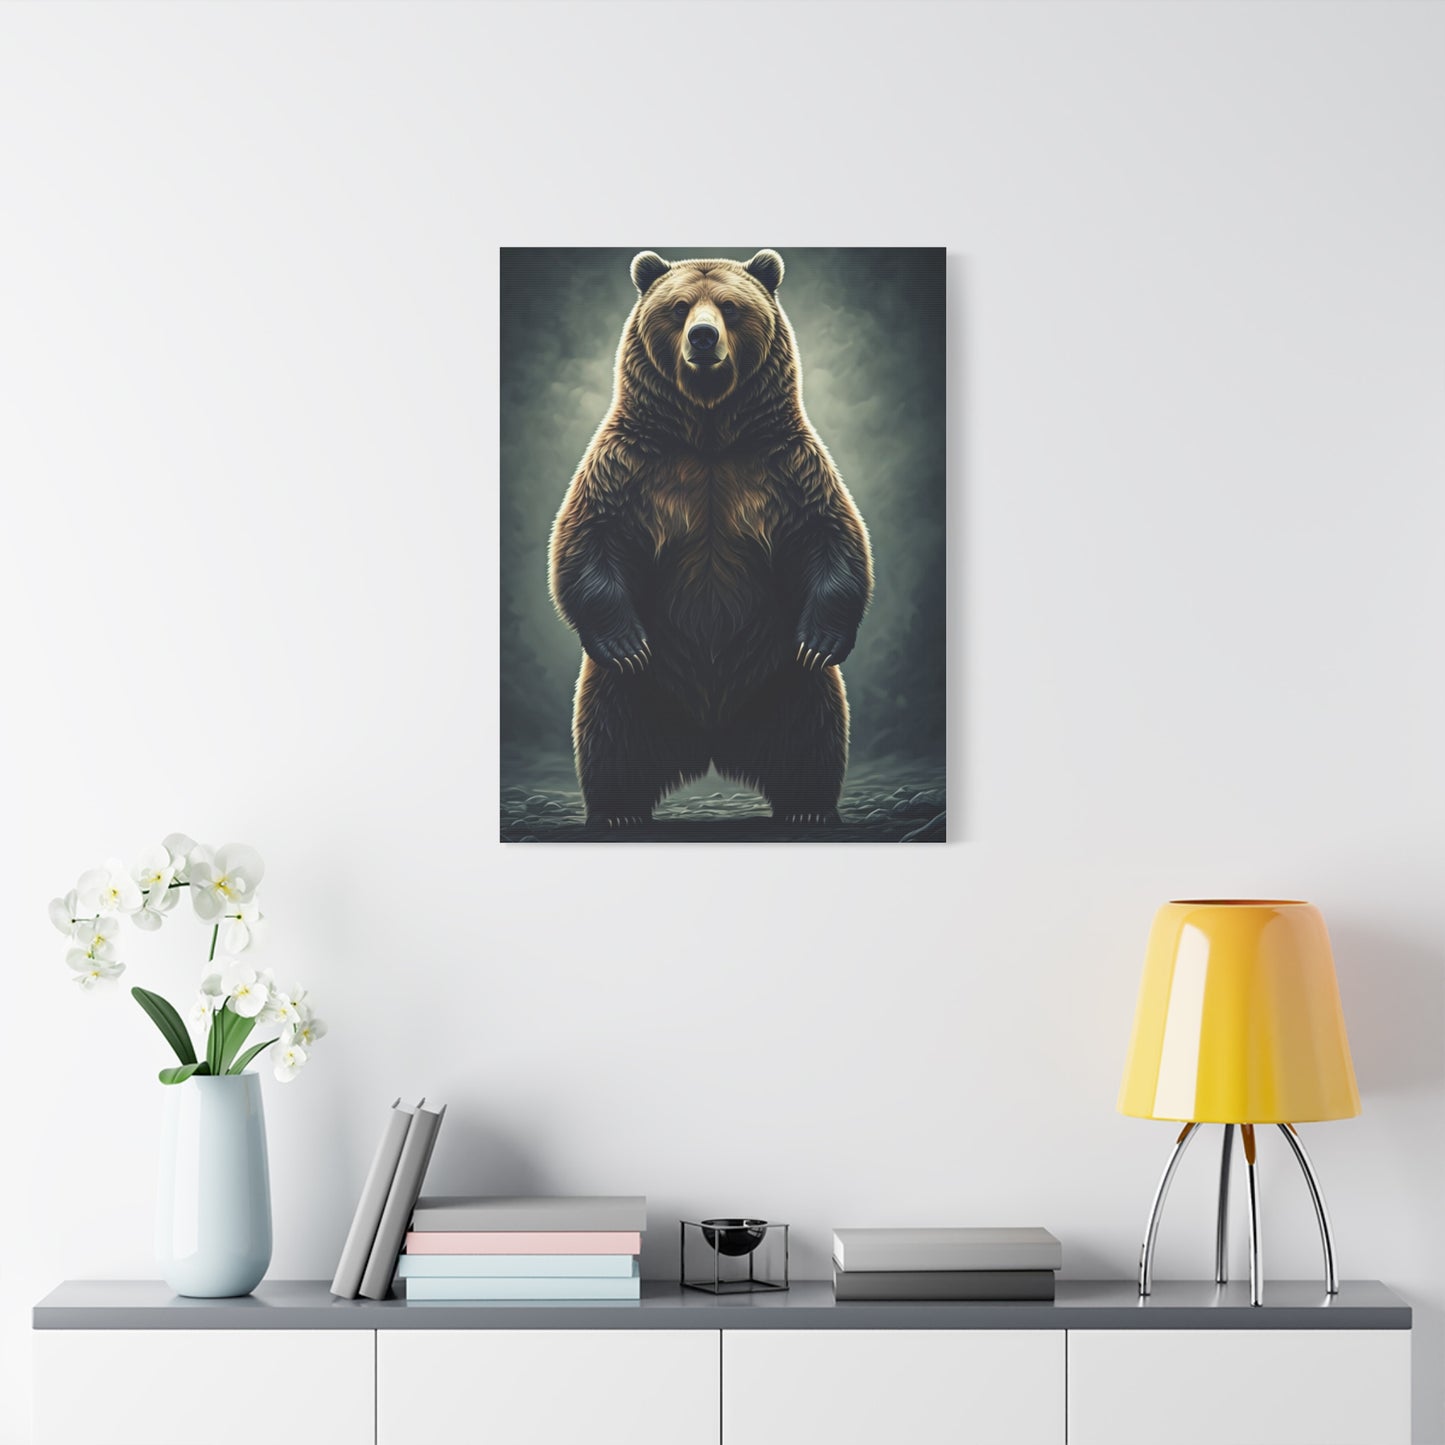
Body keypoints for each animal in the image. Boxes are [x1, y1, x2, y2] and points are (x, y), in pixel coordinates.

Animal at [548, 249, 873, 829]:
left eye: (730, 305)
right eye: (679, 307)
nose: (703, 337)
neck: (709, 431)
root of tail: (712, 745)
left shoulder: (785, 463)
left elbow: (831, 533)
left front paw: (821, 639)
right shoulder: (629, 463)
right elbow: (588, 536)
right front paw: (625, 643)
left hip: (782, 677)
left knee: (812, 730)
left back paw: (808, 808)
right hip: (636, 691)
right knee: (611, 733)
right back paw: (617, 812)